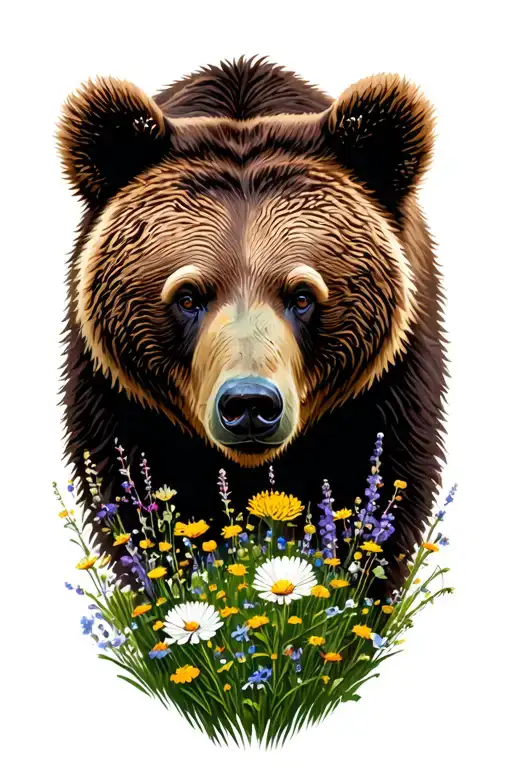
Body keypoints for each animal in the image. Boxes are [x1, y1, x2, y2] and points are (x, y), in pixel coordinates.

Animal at [57, 56, 446, 589]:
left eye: (302, 294)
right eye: (188, 295)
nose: (248, 404)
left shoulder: (387, 394)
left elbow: (375, 500)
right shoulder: (119, 403)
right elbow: (140, 511)